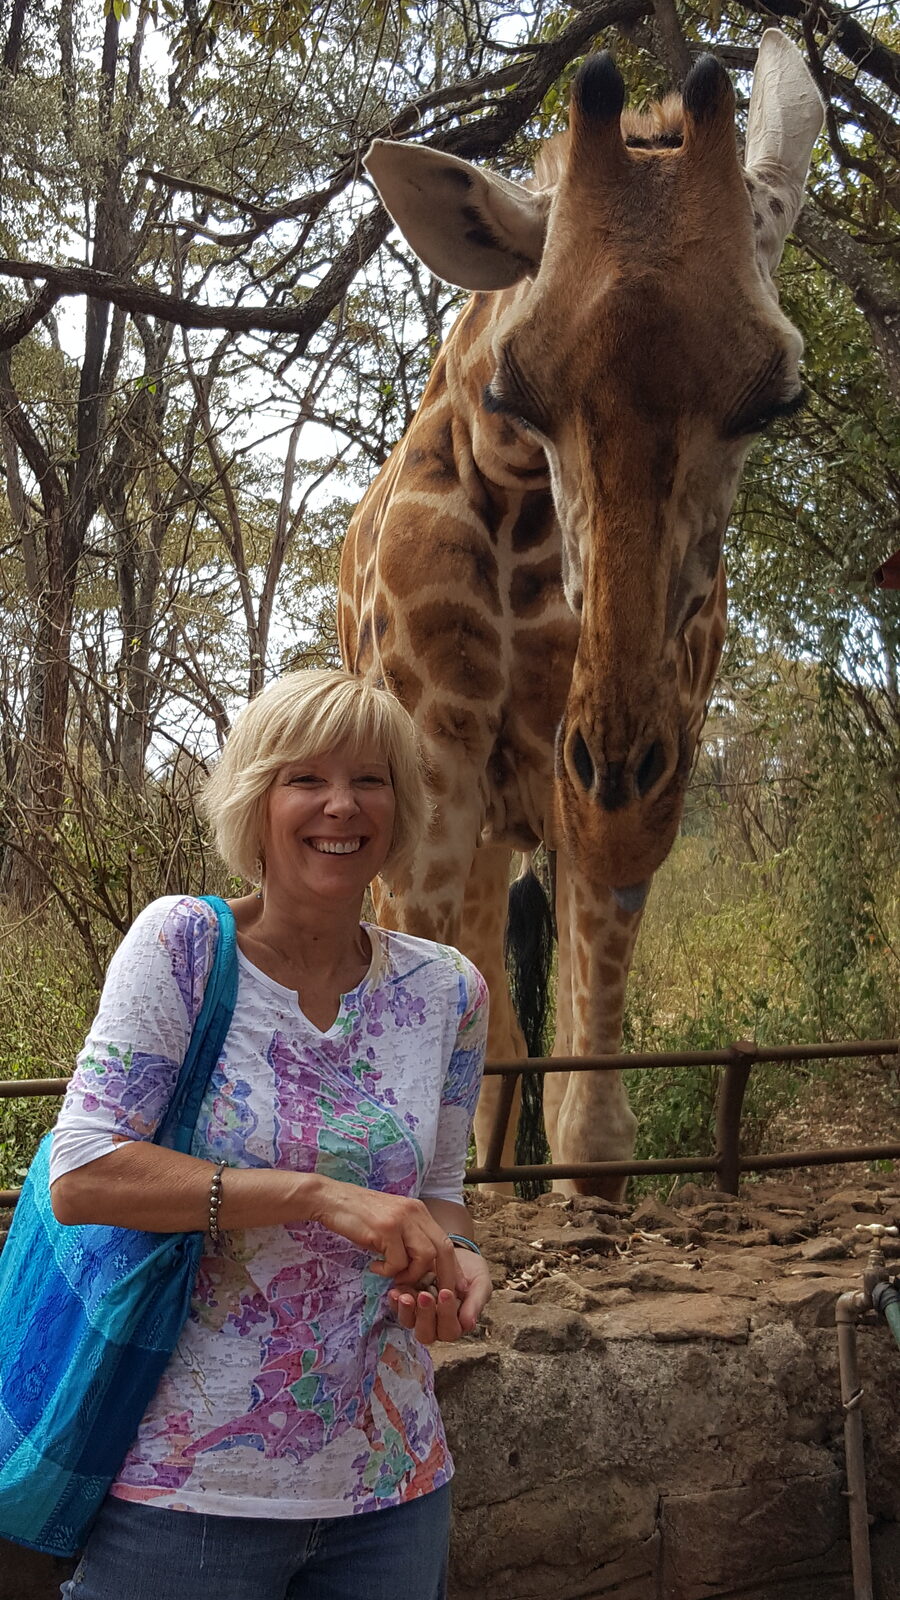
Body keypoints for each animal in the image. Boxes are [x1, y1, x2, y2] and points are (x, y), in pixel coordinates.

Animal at [339, 33, 824, 1195]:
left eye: (775, 397)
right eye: (515, 392)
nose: (612, 772)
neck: (522, 514)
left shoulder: (624, 763)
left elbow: (587, 1120)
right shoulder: (437, 758)